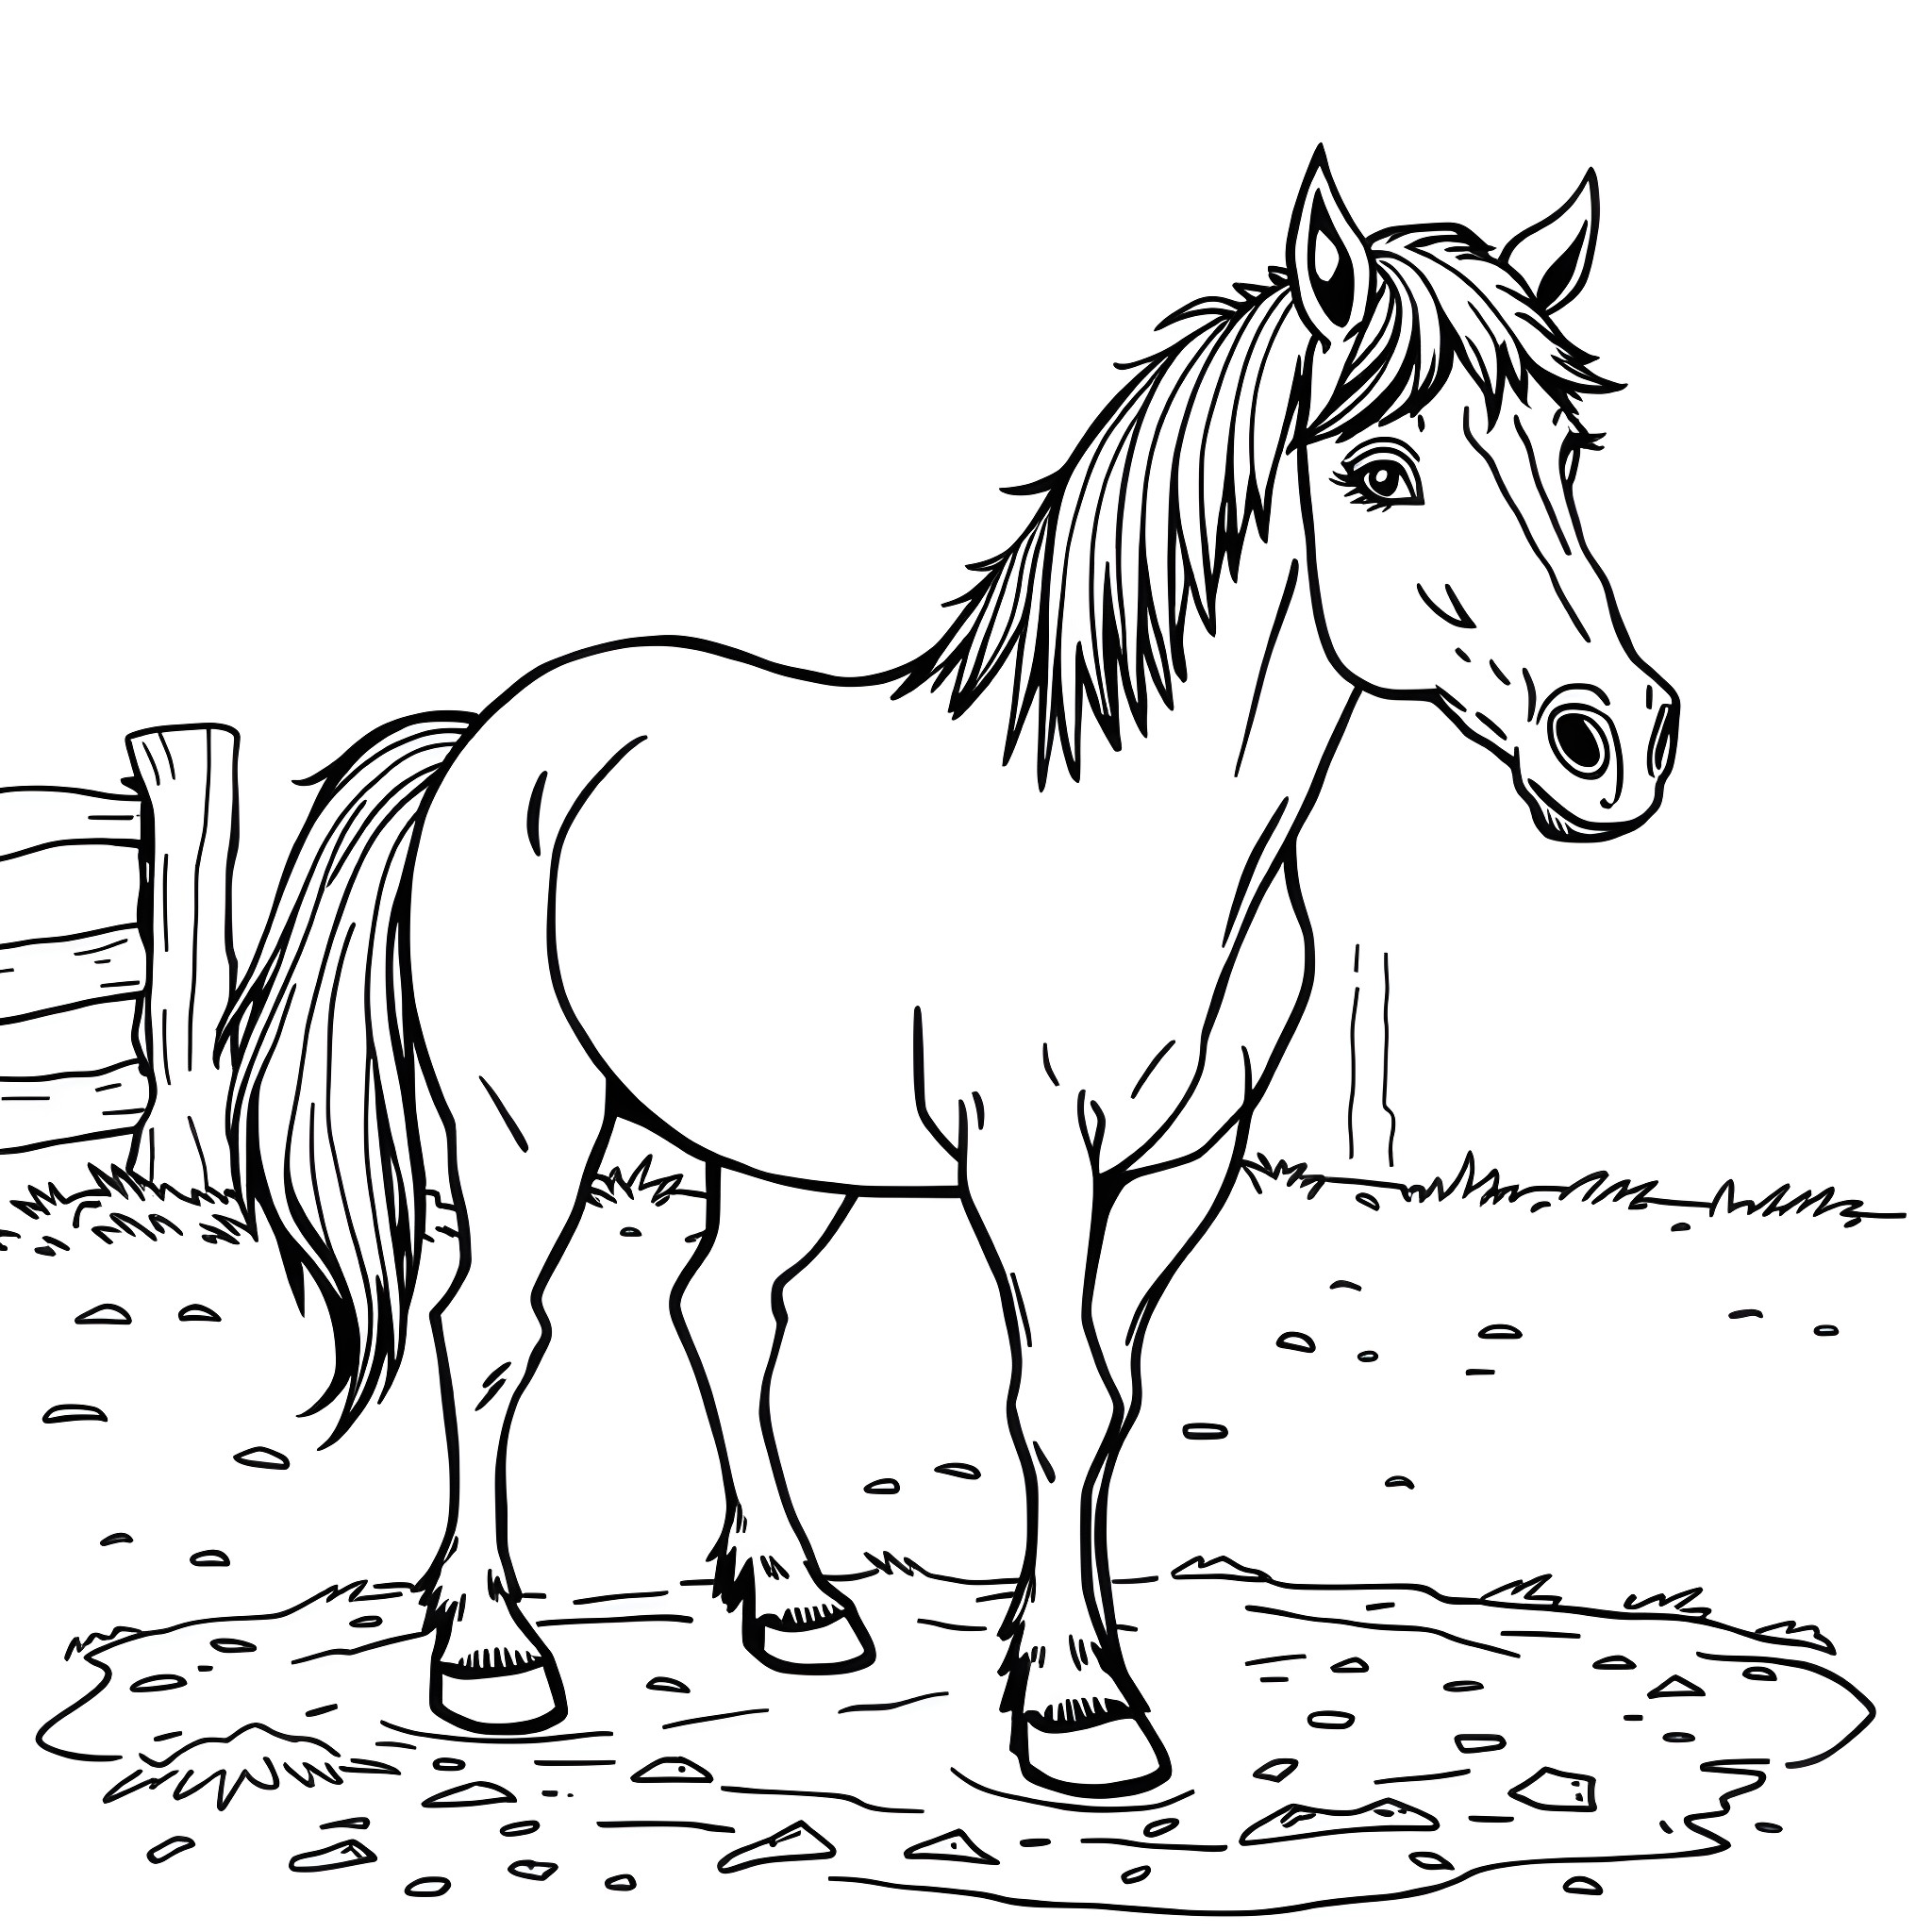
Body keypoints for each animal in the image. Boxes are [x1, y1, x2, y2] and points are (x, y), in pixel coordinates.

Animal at [225, 149, 1678, 1799]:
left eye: (1569, 451)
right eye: (1378, 472)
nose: (1613, 740)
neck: (1133, 831)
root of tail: (489, 736)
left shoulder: (1184, 1166)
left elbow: (1109, 1403)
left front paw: (1076, 1660)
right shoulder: (1031, 1157)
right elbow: (1054, 1399)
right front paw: (1079, 1707)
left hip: (777, 1148)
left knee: (723, 1313)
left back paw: (794, 1606)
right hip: (524, 1118)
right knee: (489, 1335)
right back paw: (491, 1654)